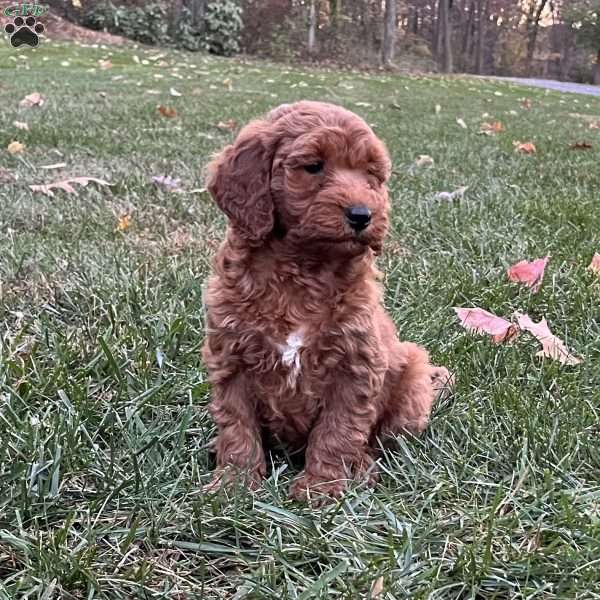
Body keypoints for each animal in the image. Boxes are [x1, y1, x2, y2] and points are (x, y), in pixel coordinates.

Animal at [202, 101, 450, 500]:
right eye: (314, 166)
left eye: (371, 175)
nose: (362, 215)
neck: (304, 269)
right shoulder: (231, 359)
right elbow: (236, 425)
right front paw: (234, 483)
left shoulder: (356, 366)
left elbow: (338, 430)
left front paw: (322, 488)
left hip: (411, 377)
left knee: (379, 442)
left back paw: (362, 467)